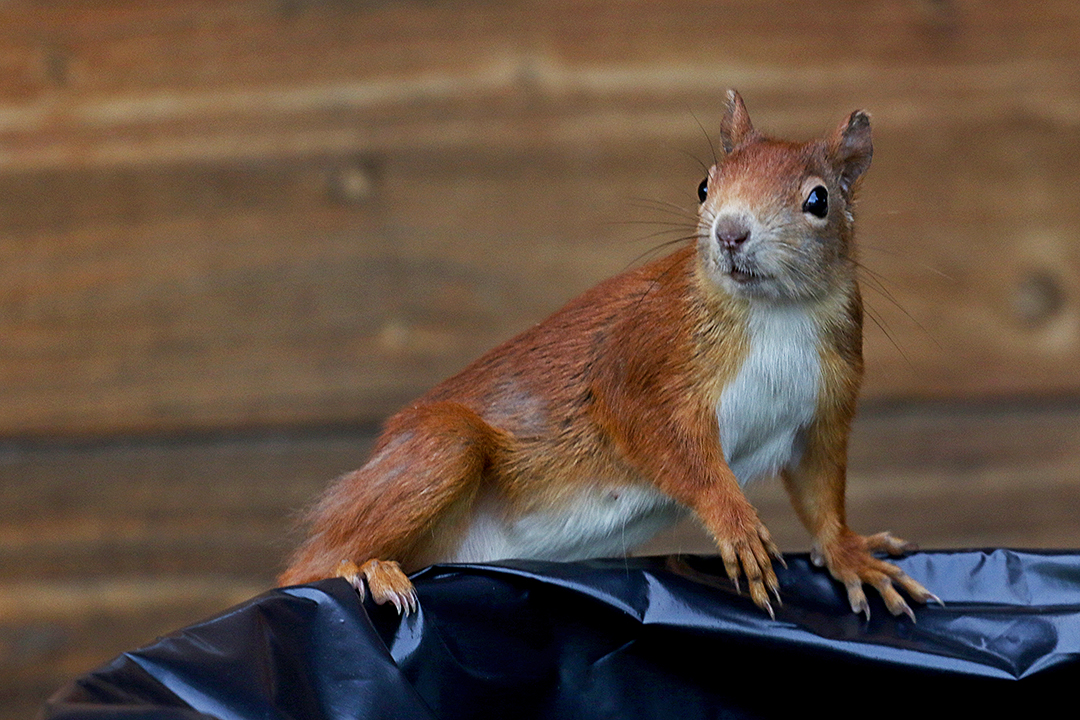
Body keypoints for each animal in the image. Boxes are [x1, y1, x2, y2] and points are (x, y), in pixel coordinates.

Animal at [278, 90, 937, 621]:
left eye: (818, 200)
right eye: (704, 185)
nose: (729, 232)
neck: (775, 313)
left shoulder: (824, 403)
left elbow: (819, 488)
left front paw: (850, 554)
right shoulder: (641, 354)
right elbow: (659, 437)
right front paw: (735, 520)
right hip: (438, 449)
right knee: (307, 566)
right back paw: (362, 567)